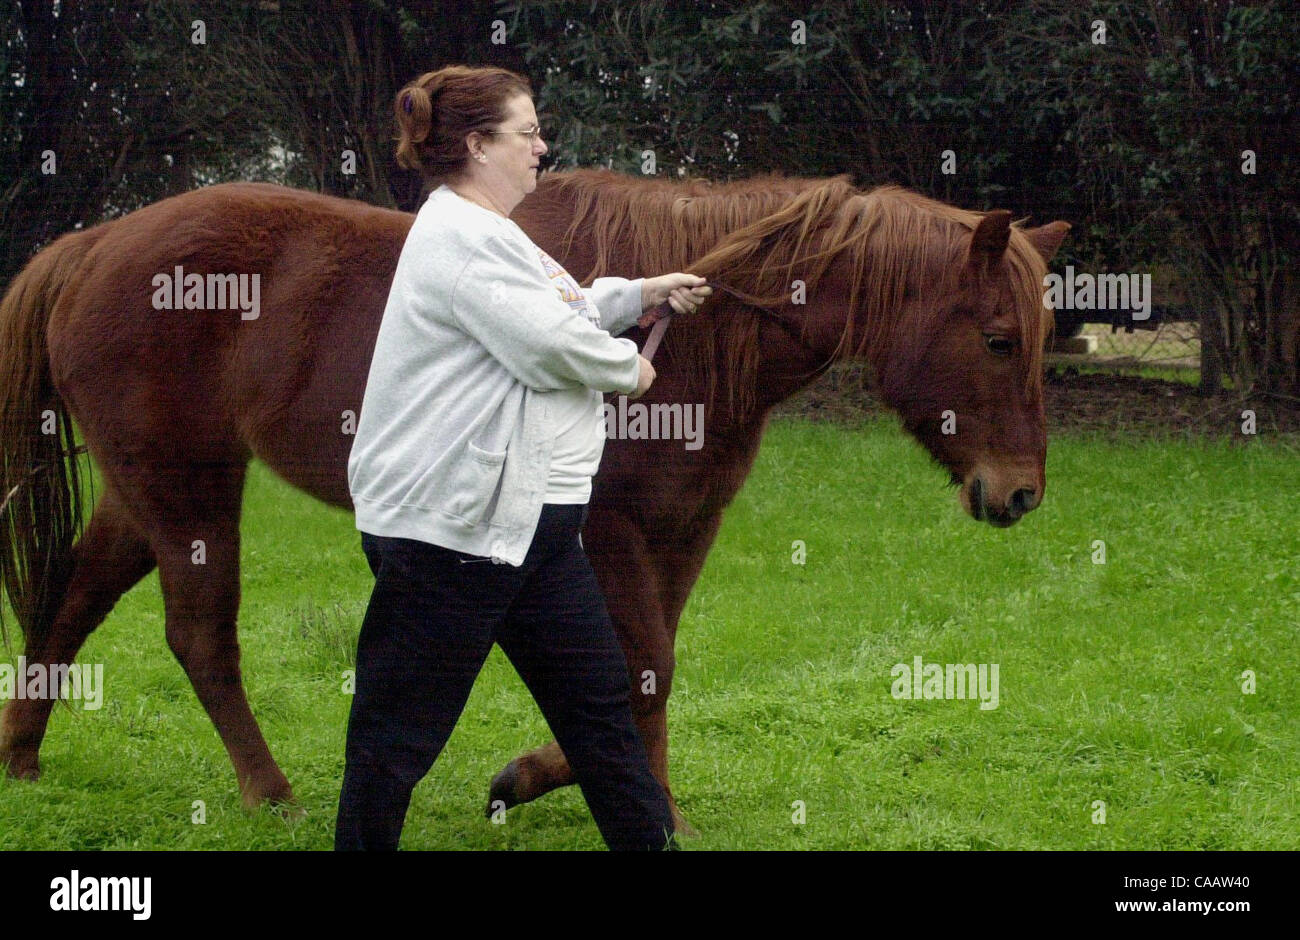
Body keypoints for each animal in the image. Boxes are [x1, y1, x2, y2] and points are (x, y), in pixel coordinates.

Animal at [0, 169, 1066, 837]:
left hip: (149, 492)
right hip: (189, 491)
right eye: (1000, 338)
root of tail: (92, 245)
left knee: (73, 604)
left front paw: (547, 781)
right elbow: (642, 672)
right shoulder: (609, 535)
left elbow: (641, 673)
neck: (695, 341)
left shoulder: (681, 531)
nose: (1019, 494)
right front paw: (644, 807)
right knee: (200, 637)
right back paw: (270, 793)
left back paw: (23, 759)